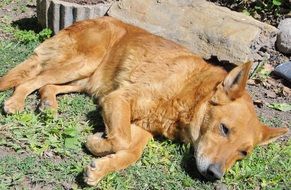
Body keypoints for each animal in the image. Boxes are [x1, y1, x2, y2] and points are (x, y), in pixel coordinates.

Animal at [0, 16, 288, 186]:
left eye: (243, 153)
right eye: (224, 129)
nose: (214, 176)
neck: (191, 91)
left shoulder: (142, 127)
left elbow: (131, 151)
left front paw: (101, 168)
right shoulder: (118, 99)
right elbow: (120, 140)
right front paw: (96, 143)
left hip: (84, 79)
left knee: (46, 85)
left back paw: (48, 104)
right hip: (82, 64)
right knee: (29, 80)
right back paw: (15, 103)